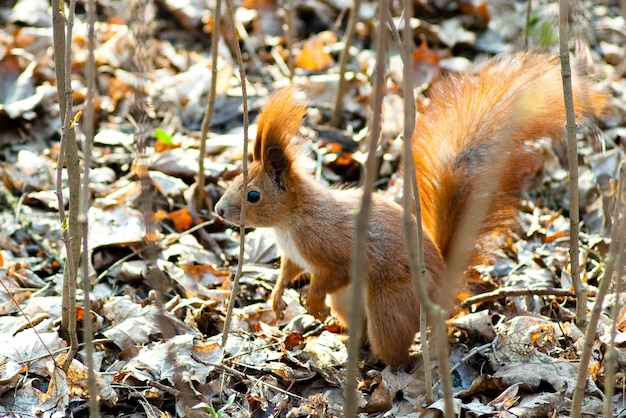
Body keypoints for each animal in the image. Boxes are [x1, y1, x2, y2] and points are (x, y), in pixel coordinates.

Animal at [213, 54, 604, 368]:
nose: (218, 210)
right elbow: (287, 272)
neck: (291, 220)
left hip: (390, 304)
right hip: (352, 302)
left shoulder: (329, 245)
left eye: (253, 195)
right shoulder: (293, 255)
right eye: (235, 177)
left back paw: (388, 366)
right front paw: (278, 299)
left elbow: (333, 272)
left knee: (395, 348)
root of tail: (444, 291)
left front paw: (312, 304)